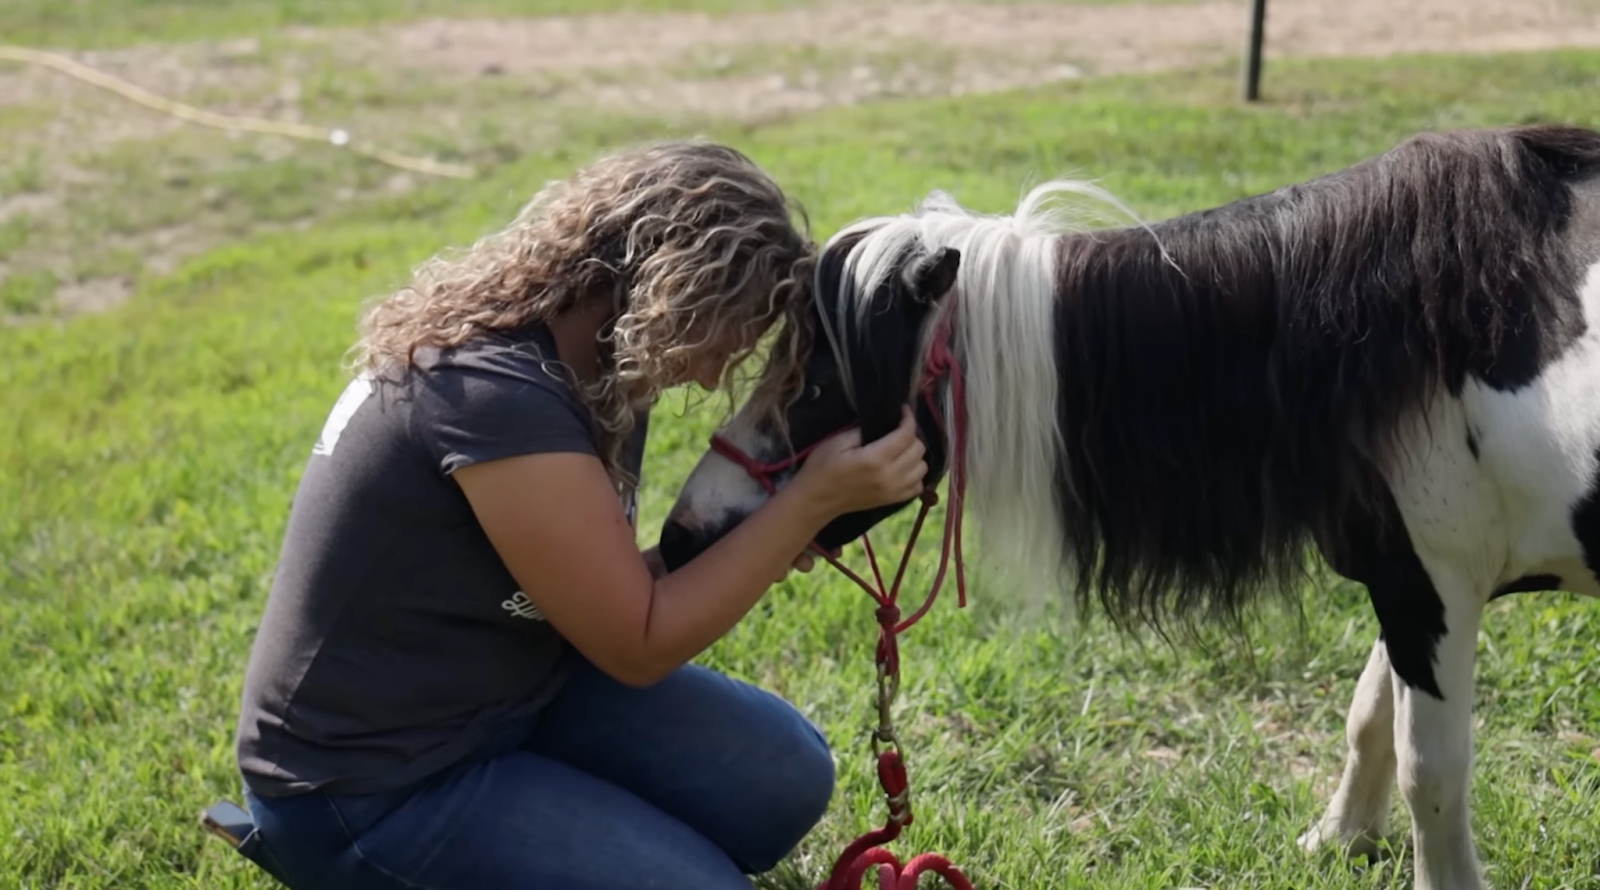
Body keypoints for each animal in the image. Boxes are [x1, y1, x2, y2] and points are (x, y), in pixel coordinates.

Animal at [658, 124, 1600, 890]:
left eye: (819, 381)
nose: (679, 534)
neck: (1396, 335)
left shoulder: (1431, 586)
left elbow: (1427, 773)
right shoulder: (1411, 581)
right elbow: (1370, 715)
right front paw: (1338, 839)